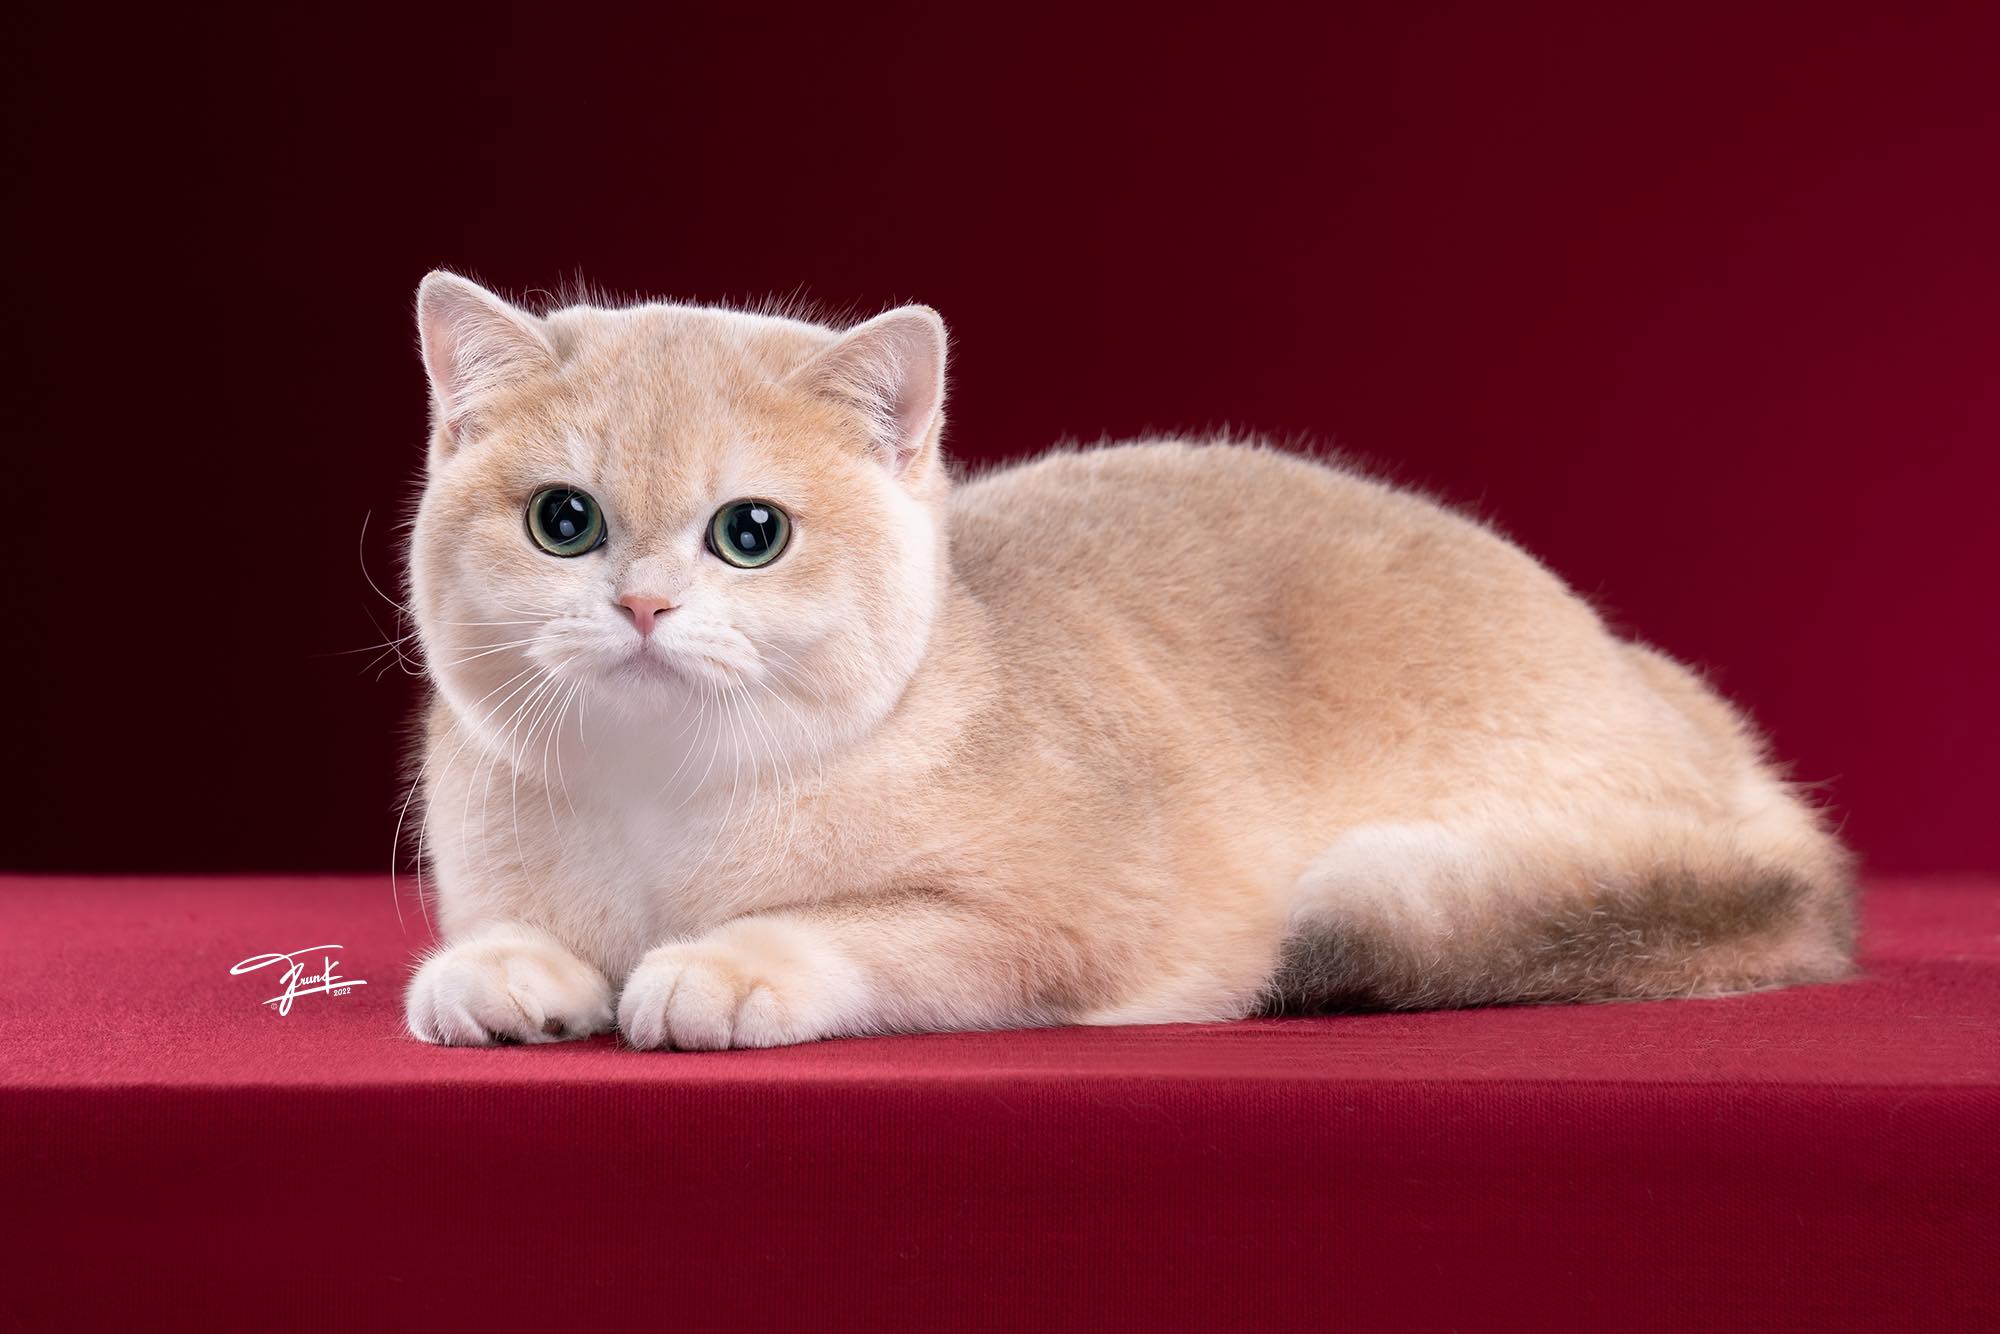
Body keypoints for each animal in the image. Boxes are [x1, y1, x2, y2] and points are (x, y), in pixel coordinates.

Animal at [398, 272, 1848, 1048]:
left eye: (749, 533)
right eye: (563, 521)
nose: (641, 604)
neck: (660, 807)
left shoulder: (1063, 924)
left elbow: (863, 927)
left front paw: (721, 965)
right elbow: (492, 939)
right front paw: (506, 974)